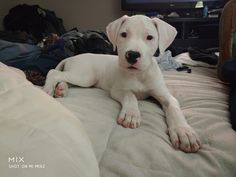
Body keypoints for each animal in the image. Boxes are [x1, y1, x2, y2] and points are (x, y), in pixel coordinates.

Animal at [43, 14, 200, 152]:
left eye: (150, 37)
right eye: (124, 34)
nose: (132, 55)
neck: (138, 74)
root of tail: (71, 58)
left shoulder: (164, 94)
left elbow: (173, 105)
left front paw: (183, 132)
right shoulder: (118, 90)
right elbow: (130, 95)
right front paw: (131, 114)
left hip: (82, 78)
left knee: (63, 78)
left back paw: (61, 89)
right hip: (85, 76)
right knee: (53, 72)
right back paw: (47, 90)